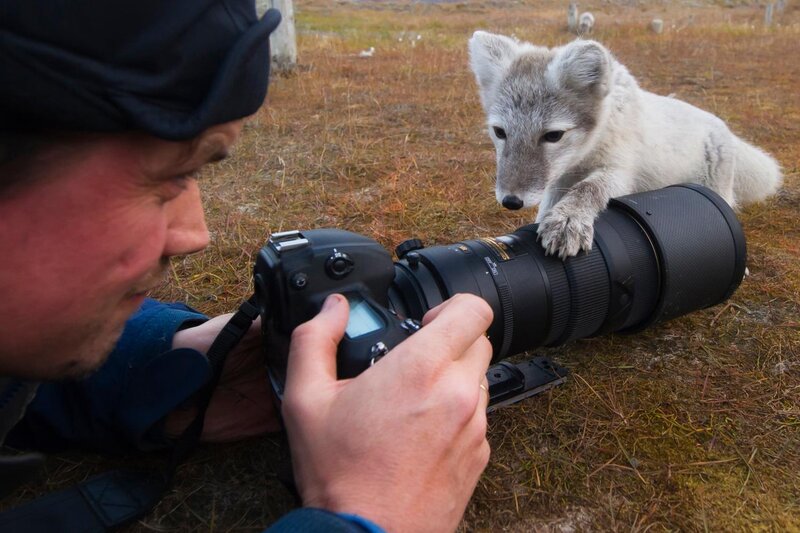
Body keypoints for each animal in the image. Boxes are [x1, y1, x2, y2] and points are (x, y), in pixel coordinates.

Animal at [468, 32, 782, 259]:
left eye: (553, 136)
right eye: (499, 132)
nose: (511, 201)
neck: (586, 153)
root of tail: (726, 130)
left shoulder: (620, 171)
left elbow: (587, 190)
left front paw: (568, 221)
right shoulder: (558, 180)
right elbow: (548, 206)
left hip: (716, 191)